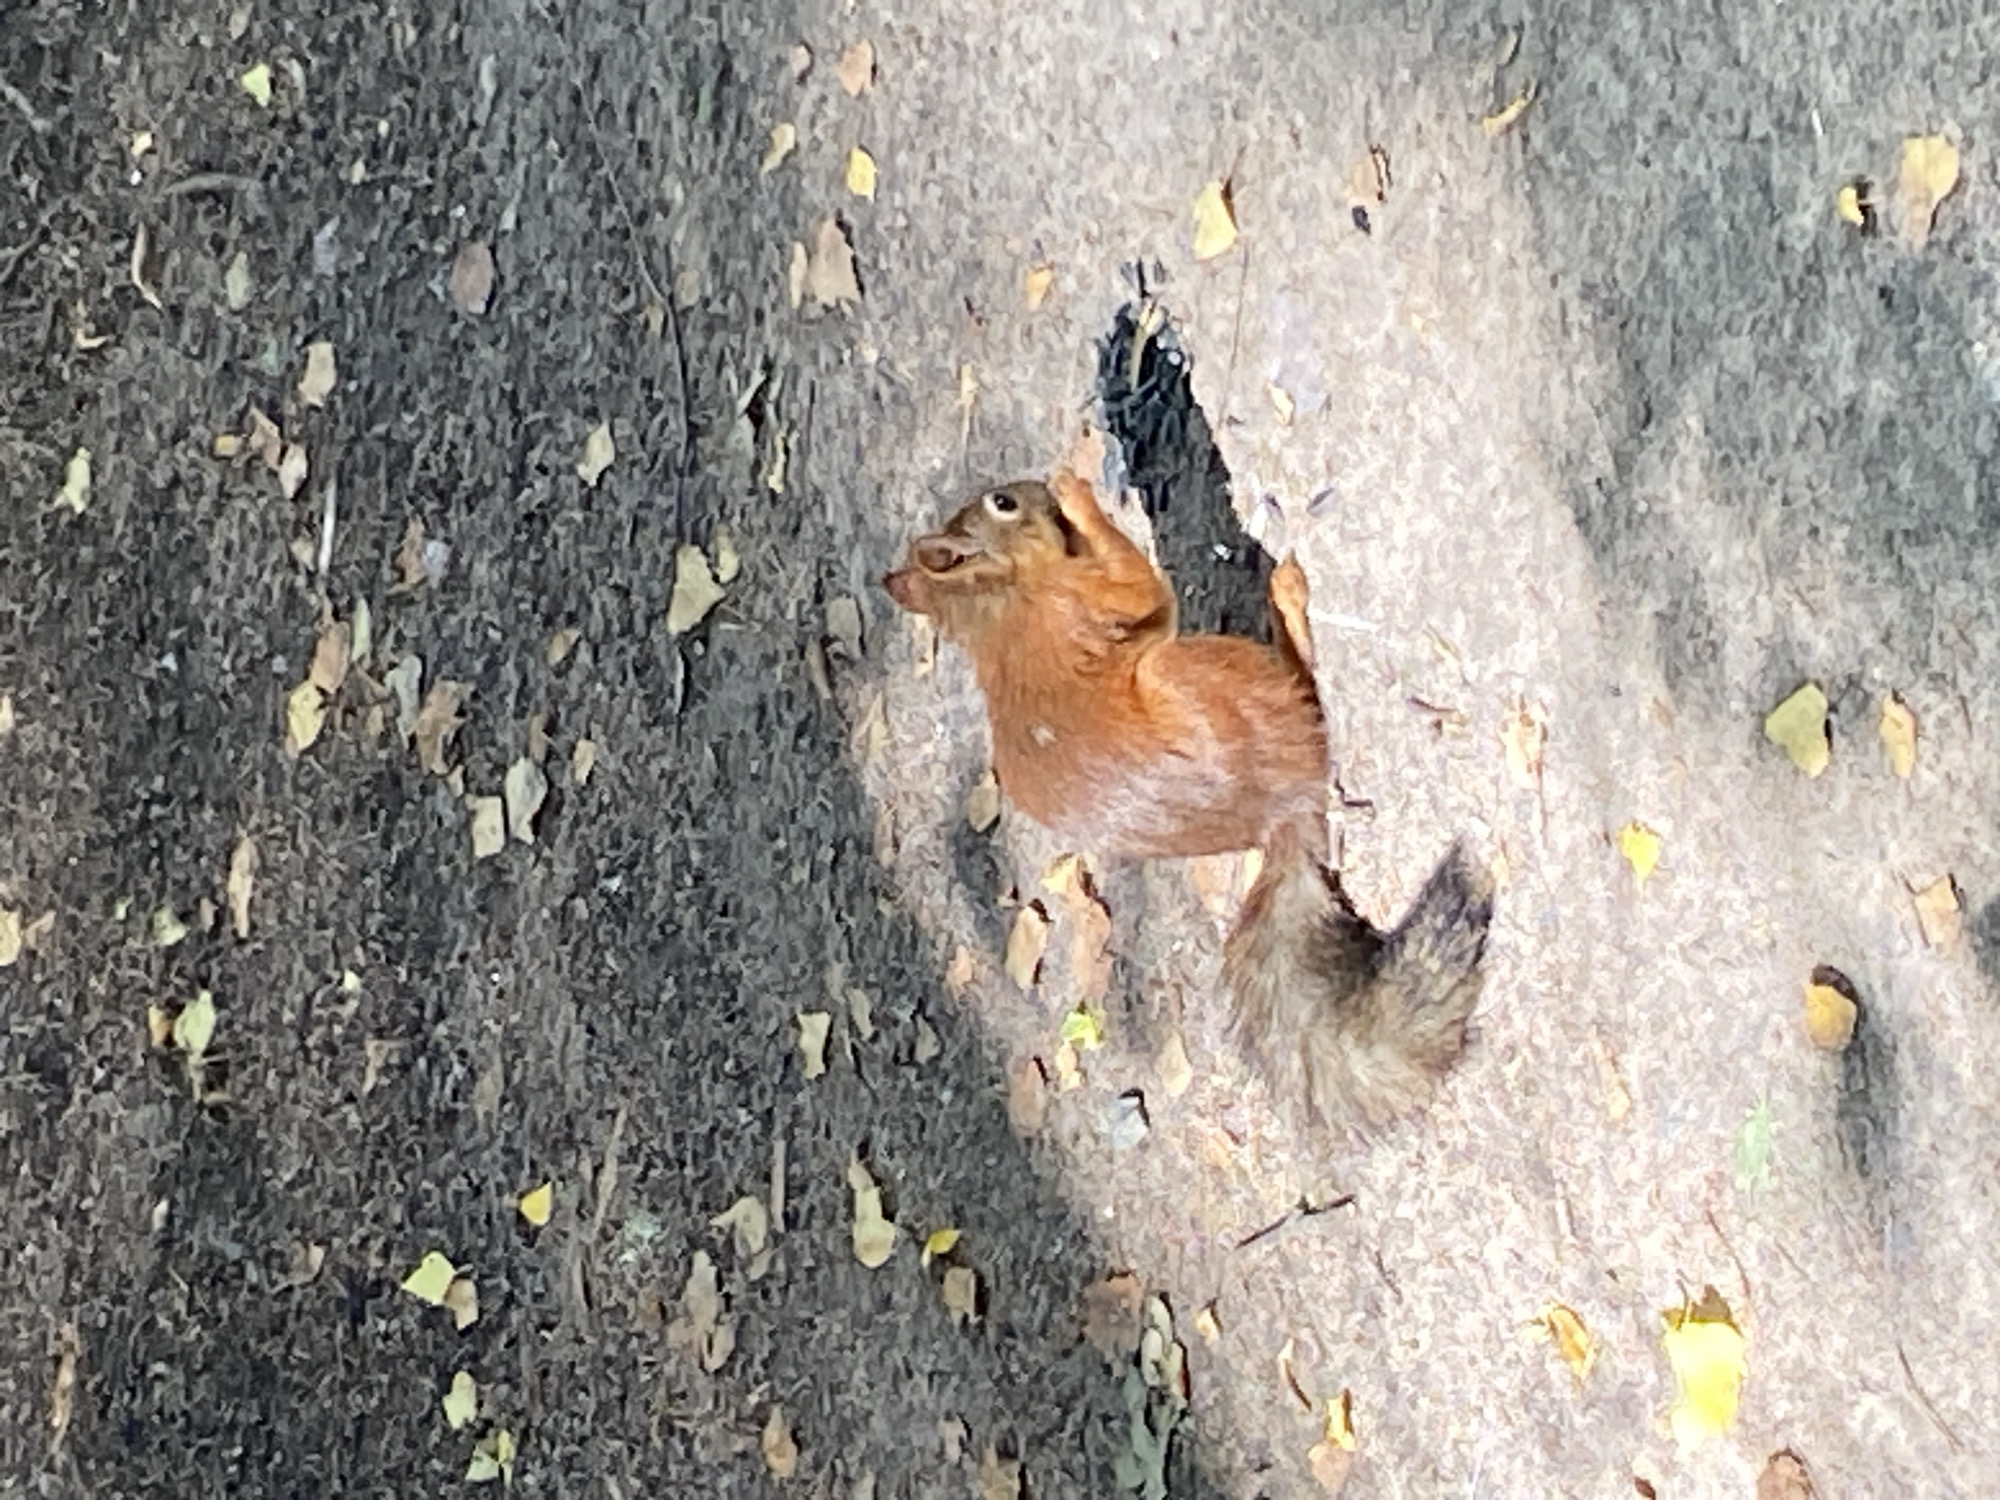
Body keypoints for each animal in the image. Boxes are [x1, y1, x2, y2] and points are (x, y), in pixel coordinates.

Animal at [882, 467, 1494, 1131]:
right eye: (1005, 504)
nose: (1035, 485)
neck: (999, 607)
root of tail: (1284, 810)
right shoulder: (1090, 594)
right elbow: (1138, 583)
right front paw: (1079, 494)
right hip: (1215, 671)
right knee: (1302, 680)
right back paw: (1288, 595)